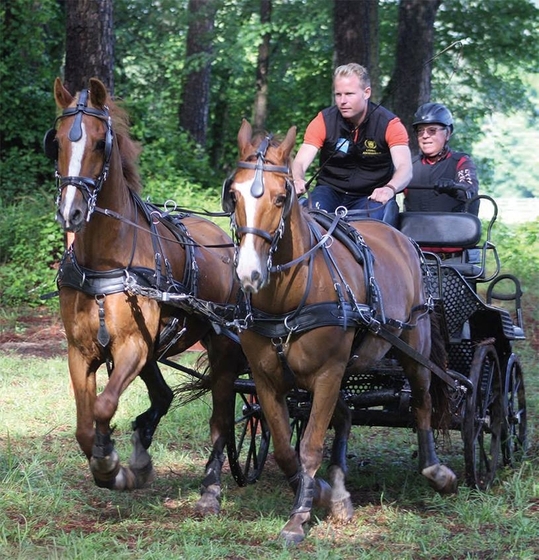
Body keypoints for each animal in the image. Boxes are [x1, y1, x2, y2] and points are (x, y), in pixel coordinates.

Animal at [44, 76, 247, 516]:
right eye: (58, 142)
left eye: (100, 143)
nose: (70, 213)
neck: (104, 260)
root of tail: (224, 239)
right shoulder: (81, 351)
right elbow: (84, 426)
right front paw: (117, 463)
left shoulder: (132, 346)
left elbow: (104, 406)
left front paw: (110, 465)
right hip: (156, 349)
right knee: (164, 395)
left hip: (222, 347)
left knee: (221, 419)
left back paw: (210, 490)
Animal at [223, 119, 456, 544]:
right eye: (233, 195)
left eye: (281, 198)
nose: (249, 273)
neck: (289, 295)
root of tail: (405, 241)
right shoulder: (266, 378)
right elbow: (285, 447)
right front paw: (319, 493)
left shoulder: (328, 373)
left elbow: (311, 445)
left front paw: (298, 517)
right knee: (346, 415)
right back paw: (339, 492)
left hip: (412, 343)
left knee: (422, 402)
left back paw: (436, 471)